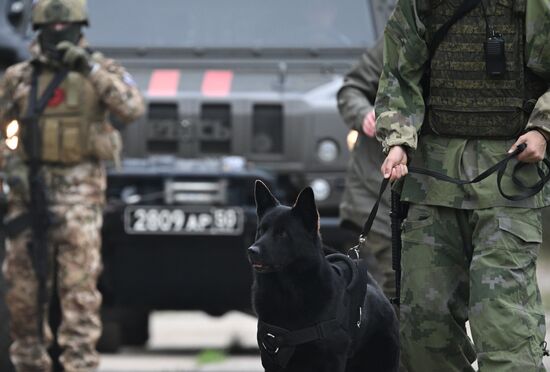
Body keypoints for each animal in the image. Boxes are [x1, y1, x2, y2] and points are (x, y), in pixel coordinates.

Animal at [250, 180, 402, 372]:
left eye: (282, 233)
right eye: (261, 231)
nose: (252, 251)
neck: (286, 292)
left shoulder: (330, 362)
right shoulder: (271, 361)